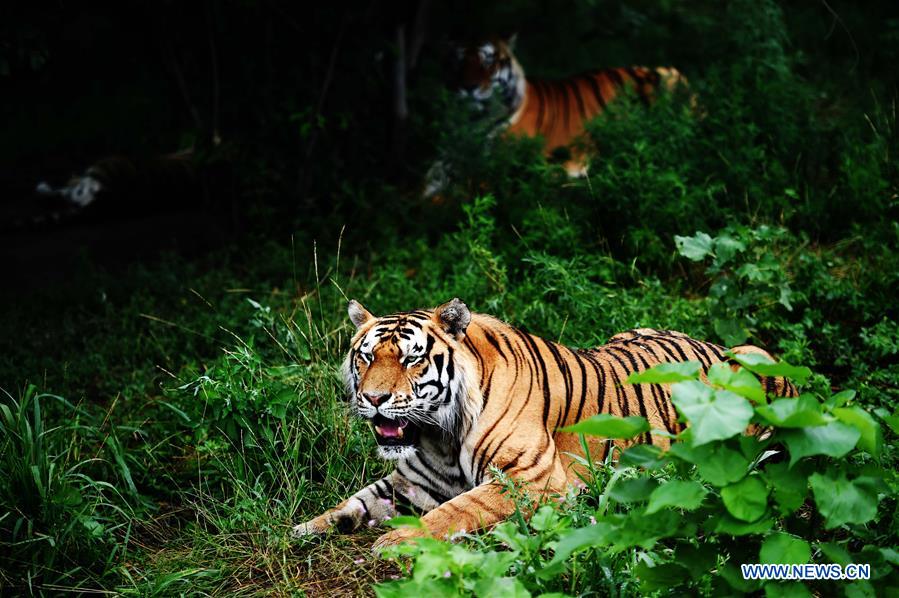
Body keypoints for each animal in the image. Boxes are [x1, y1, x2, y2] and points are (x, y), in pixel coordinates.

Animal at [294, 298, 796, 552]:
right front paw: (308, 528)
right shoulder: (413, 482)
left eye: (411, 358)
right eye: (365, 357)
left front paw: (397, 540)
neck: (439, 434)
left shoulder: (531, 479)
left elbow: (454, 510)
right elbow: (357, 501)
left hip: (756, 362)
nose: (373, 399)